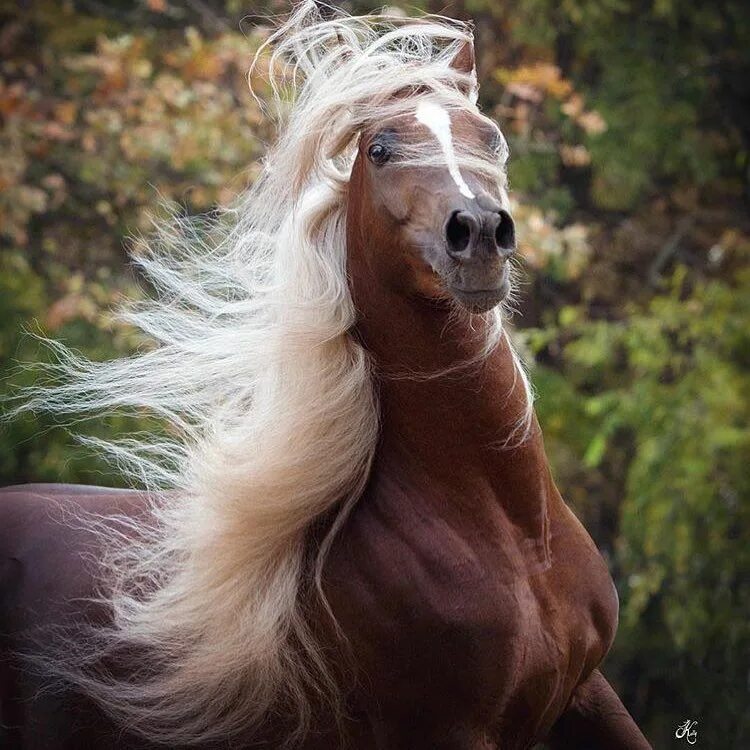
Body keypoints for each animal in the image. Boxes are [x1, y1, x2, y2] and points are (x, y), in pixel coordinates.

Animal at [0, 5, 652, 750]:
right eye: (380, 151)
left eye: (490, 138)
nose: (482, 234)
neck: (512, 541)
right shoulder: (450, 727)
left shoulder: (588, 691)